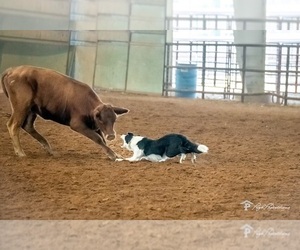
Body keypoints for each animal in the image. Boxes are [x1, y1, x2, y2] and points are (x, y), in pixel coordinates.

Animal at [0, 65, 129, 159]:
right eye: (101, 119)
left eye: (114, 119)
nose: (111, 135)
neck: (87, 104)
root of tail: (11, 70)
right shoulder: (77, 125)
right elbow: (98, 138)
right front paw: (112, 155)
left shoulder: (95, 126)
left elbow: (103, 140)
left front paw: (115, 153)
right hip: (21, 105)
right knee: (13, 125)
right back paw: (20, 152)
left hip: (32, 109)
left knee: (27, 126)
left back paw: (49, 149)